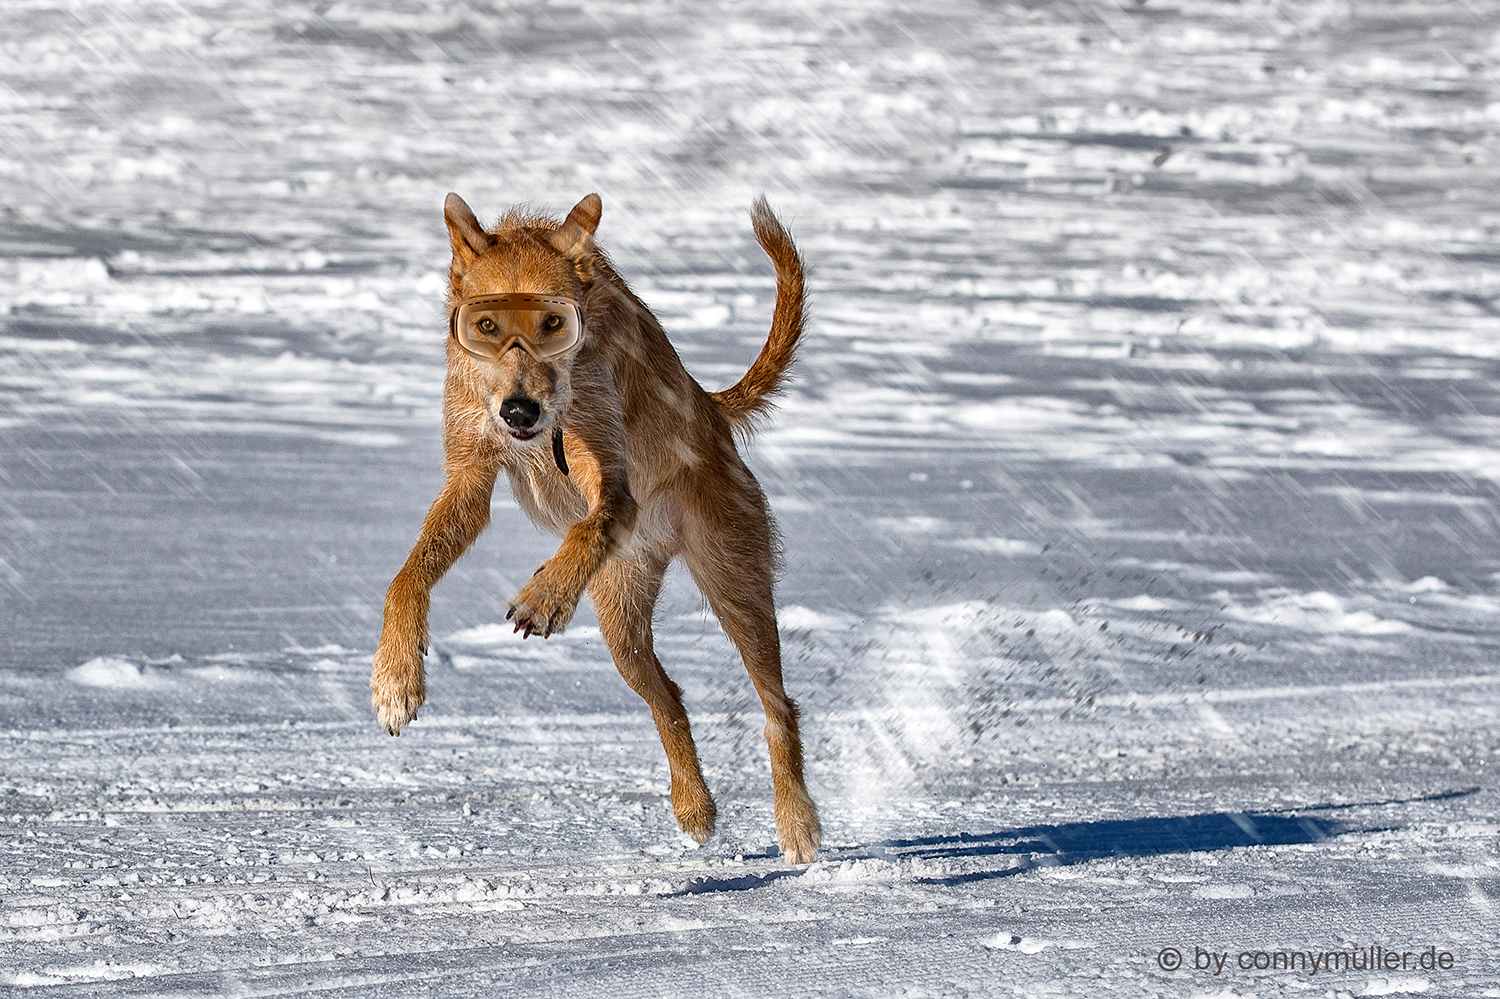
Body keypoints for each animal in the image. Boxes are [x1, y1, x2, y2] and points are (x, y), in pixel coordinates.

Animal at [370, 190, 828, 858]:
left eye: (554, 323)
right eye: (486, 325)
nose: (519, 411)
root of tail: (713, 410)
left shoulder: (608, 477)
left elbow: (589, 524)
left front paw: (544, 596)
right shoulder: (469, 477)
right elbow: (407, 578)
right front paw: (396, 678)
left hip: (736, 584)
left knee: (778, 704)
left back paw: (797, 823)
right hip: (622, 618)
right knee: (668, 697)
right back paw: (694, 806)